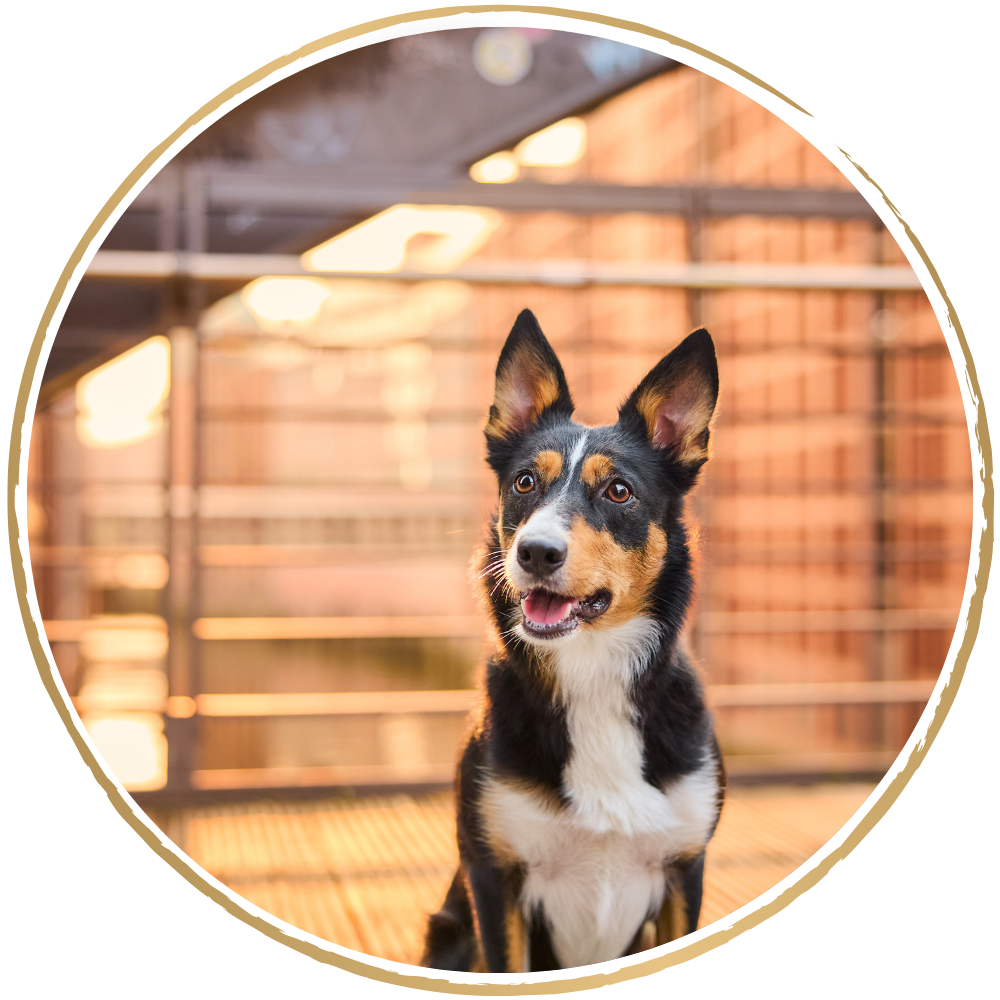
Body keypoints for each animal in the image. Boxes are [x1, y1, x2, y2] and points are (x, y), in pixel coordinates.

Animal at [424, 308, 728, 972]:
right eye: (524, 483)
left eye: (618, 490)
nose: (535, 552)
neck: (590, 677)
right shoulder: (495, 881)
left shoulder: (683, 871)